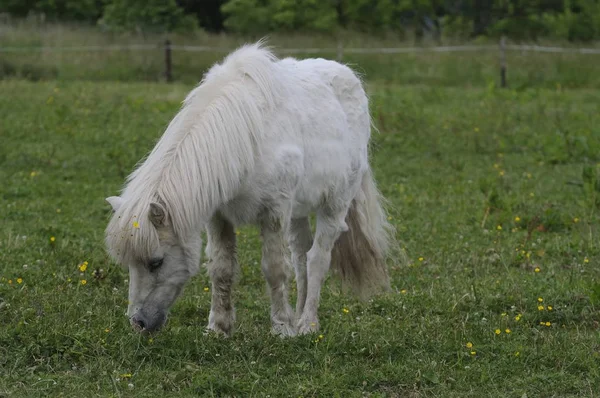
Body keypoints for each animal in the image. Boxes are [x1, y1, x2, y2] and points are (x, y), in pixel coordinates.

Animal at [104, 41, 394, 336]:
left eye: (156, 262)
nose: (138, 323)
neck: (245, 138)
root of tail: (349, 76)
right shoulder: (218, 216)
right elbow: (221, 267)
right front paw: (218, 328)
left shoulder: (275, 212)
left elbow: (274, 269)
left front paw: (282, 327)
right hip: (299, 211)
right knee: (301, 258)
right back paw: (299, 316)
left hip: (335, 205)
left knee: (317, 260)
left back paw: (307, 324)